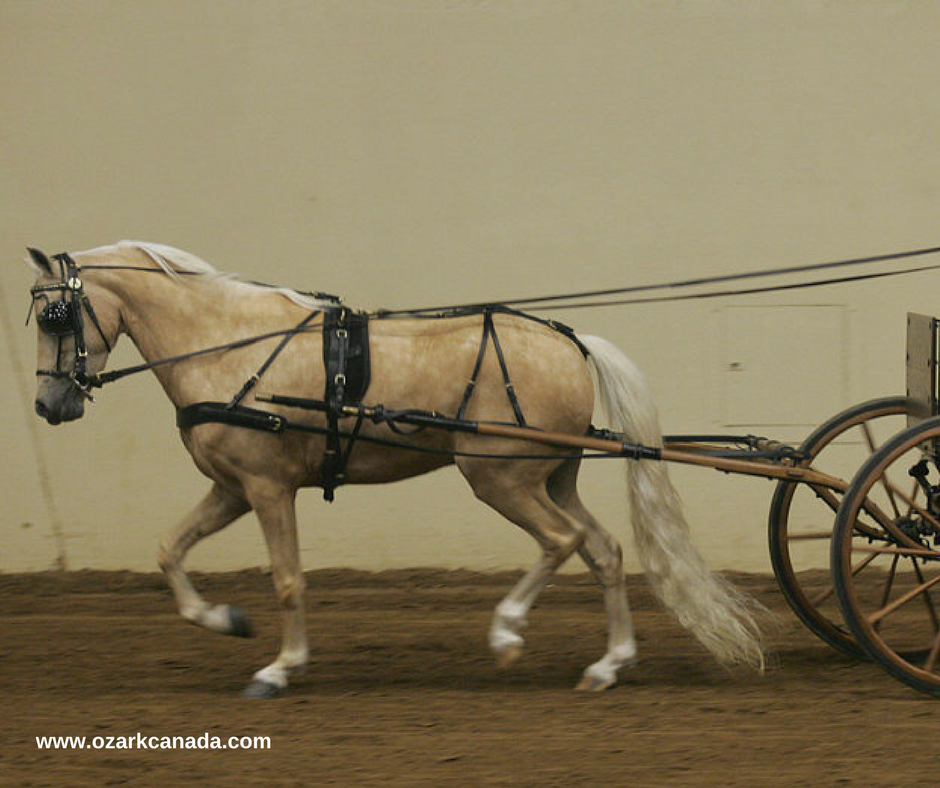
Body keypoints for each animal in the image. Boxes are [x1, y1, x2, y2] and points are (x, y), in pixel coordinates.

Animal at [26, 241, 764, 697]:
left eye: (53, 314)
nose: (47, 404)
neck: (226, 343)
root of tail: (569, 339)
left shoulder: (268, 488)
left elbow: (288, 580)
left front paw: (281, 667)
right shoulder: (231, 488)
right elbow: (168, 552)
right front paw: (227, 620)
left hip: (498, 476)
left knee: (563, 541)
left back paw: (506, 631)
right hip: (549, 477)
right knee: (603, 550)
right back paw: (608, 664)